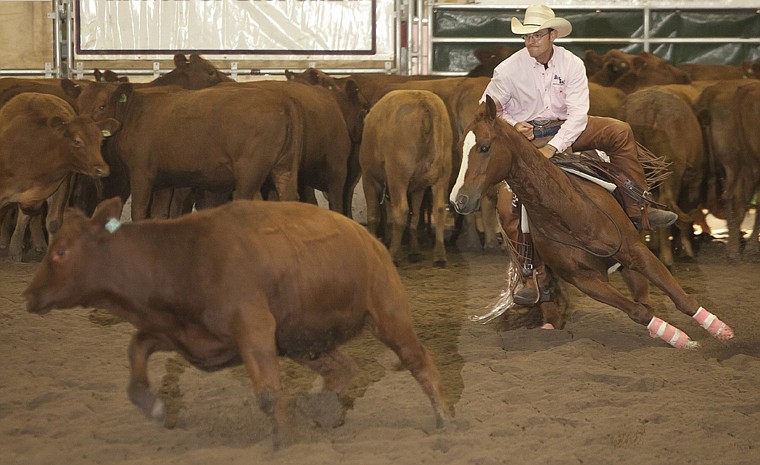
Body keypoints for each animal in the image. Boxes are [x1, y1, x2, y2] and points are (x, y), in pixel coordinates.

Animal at [25, 197, 452, 450]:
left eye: (61, 252)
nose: (29, 295)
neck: (181, 257)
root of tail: (369, 238)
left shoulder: (254, 329)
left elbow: (267, 394)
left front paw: (282, 443)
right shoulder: (182, 334)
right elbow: (136, 352)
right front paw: (155, 408)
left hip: (388, 314)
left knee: (420, 362)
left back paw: (444, 420)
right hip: (301, 340)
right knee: (343, 368)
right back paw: (320, 410)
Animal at [452, 95, 736, 348]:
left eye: (484, 147)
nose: (459, 200)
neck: (570, 213)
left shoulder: (635, 251)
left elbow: (679, 297)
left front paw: (719, 329)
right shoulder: (585, 281)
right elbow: (638, 311)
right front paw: (678, 337)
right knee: (551, 303)